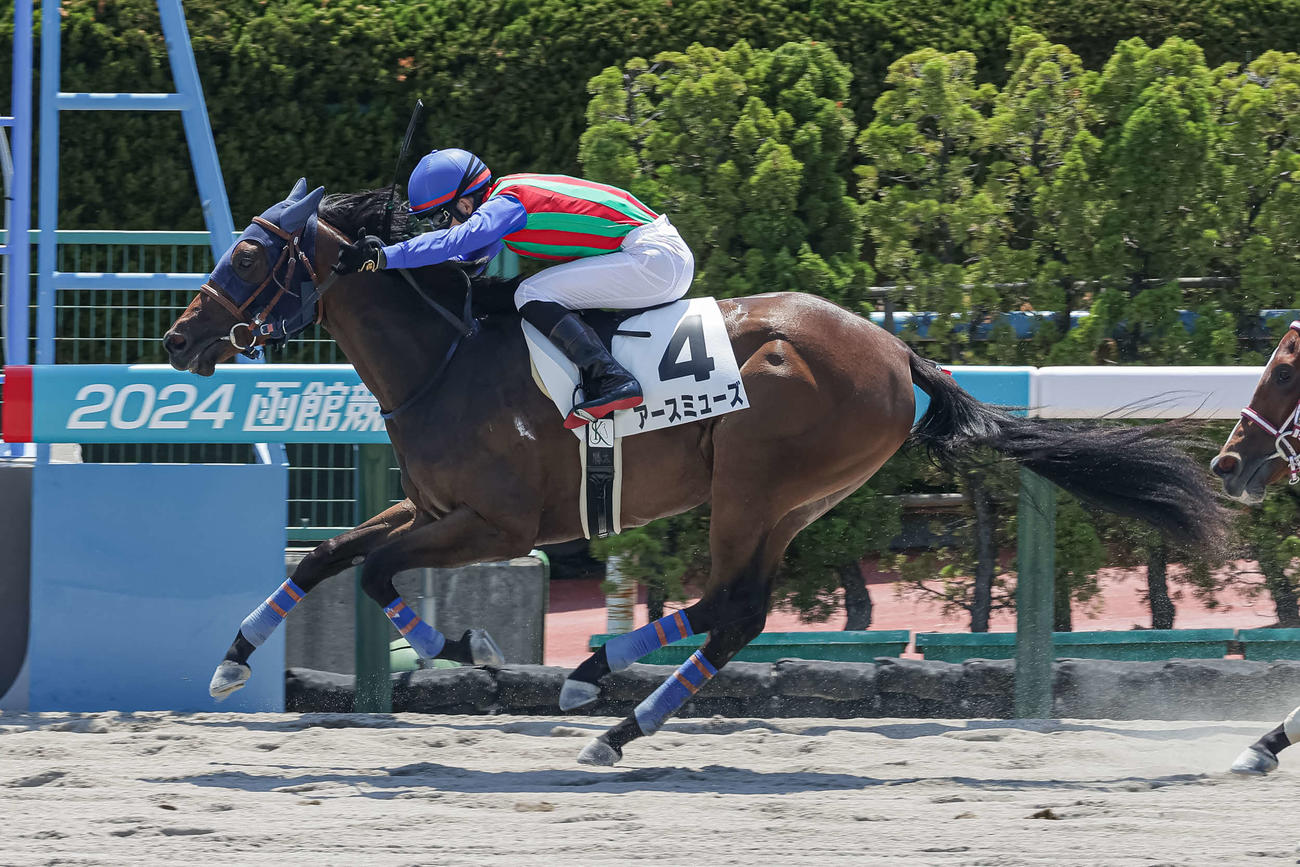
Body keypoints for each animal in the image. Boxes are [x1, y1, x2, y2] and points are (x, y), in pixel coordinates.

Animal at [164, 180, 1225, 766]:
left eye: (249, 252)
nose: (178, 338)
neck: (448, 356)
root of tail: (897, 351)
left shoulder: (499, 523)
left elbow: (381, 573)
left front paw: (468, 647)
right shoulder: (428, 502)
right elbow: (329, 558)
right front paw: (231, 659)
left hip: (757, 481)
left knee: (734, 603)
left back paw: (604, 697)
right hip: (797, 497)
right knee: (735, 608)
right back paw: (604, 698)